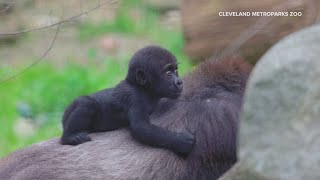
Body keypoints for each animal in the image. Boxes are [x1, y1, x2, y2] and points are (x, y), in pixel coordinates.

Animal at [60, 45, 195, 155]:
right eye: (168, 73)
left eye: (176, 71)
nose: (179, 82)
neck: (142, 88)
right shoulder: (135, 98)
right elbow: (141, 127)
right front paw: (181, 141)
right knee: (86, 103)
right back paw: (69, 137)